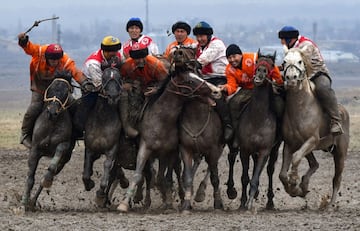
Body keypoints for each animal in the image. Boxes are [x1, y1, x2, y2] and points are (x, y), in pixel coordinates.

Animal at [20, 75, 75, 210]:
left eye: (66, 92)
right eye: (50, 89)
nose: (52, 112)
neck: (52, 124)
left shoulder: (64, 145)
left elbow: (53, 163)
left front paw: (47, 179)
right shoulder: (35, 150)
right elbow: (30, 178)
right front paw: (23, 203)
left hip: (64, 161)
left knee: (48, 175)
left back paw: (35, 198)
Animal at [225, 51, 282, 210]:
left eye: (272, 64)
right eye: (257, 62)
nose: (260, 73)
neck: (258, 118)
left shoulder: (264, 151)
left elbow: (255, 178)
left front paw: (250, 201)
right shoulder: (245, 149)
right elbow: (245, 178)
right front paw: (243, 203)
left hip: (275, 148)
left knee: (269, 170)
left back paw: (269, 202)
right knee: (232, 157)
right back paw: (232, 191)